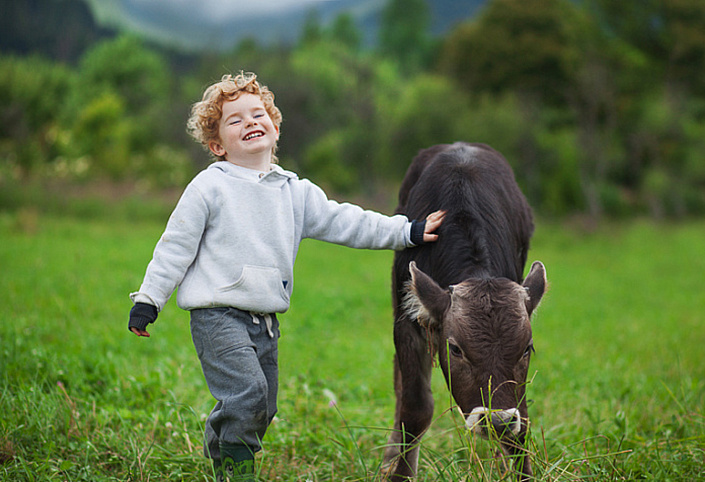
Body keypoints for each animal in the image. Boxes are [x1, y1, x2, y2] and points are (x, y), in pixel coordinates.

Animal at [382, 141, 548, 480]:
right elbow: (415, 408)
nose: (496, 420)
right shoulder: (407, 323)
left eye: (527, 348)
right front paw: (400, 472)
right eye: (456, 349)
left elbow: (523, 420)